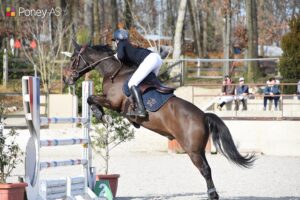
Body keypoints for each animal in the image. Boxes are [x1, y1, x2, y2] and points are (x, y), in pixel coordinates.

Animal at [63, 39, 255, 199]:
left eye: (73, 58)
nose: (66, 78)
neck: (114, 71)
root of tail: (203, 115)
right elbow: (91, 99)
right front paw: (102, 115)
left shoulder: (114, 102)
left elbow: (91, 98)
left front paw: (102, 115)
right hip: (198, 149)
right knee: (206, 169)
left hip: (192, 150)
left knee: (205, 170)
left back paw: (213, 195)